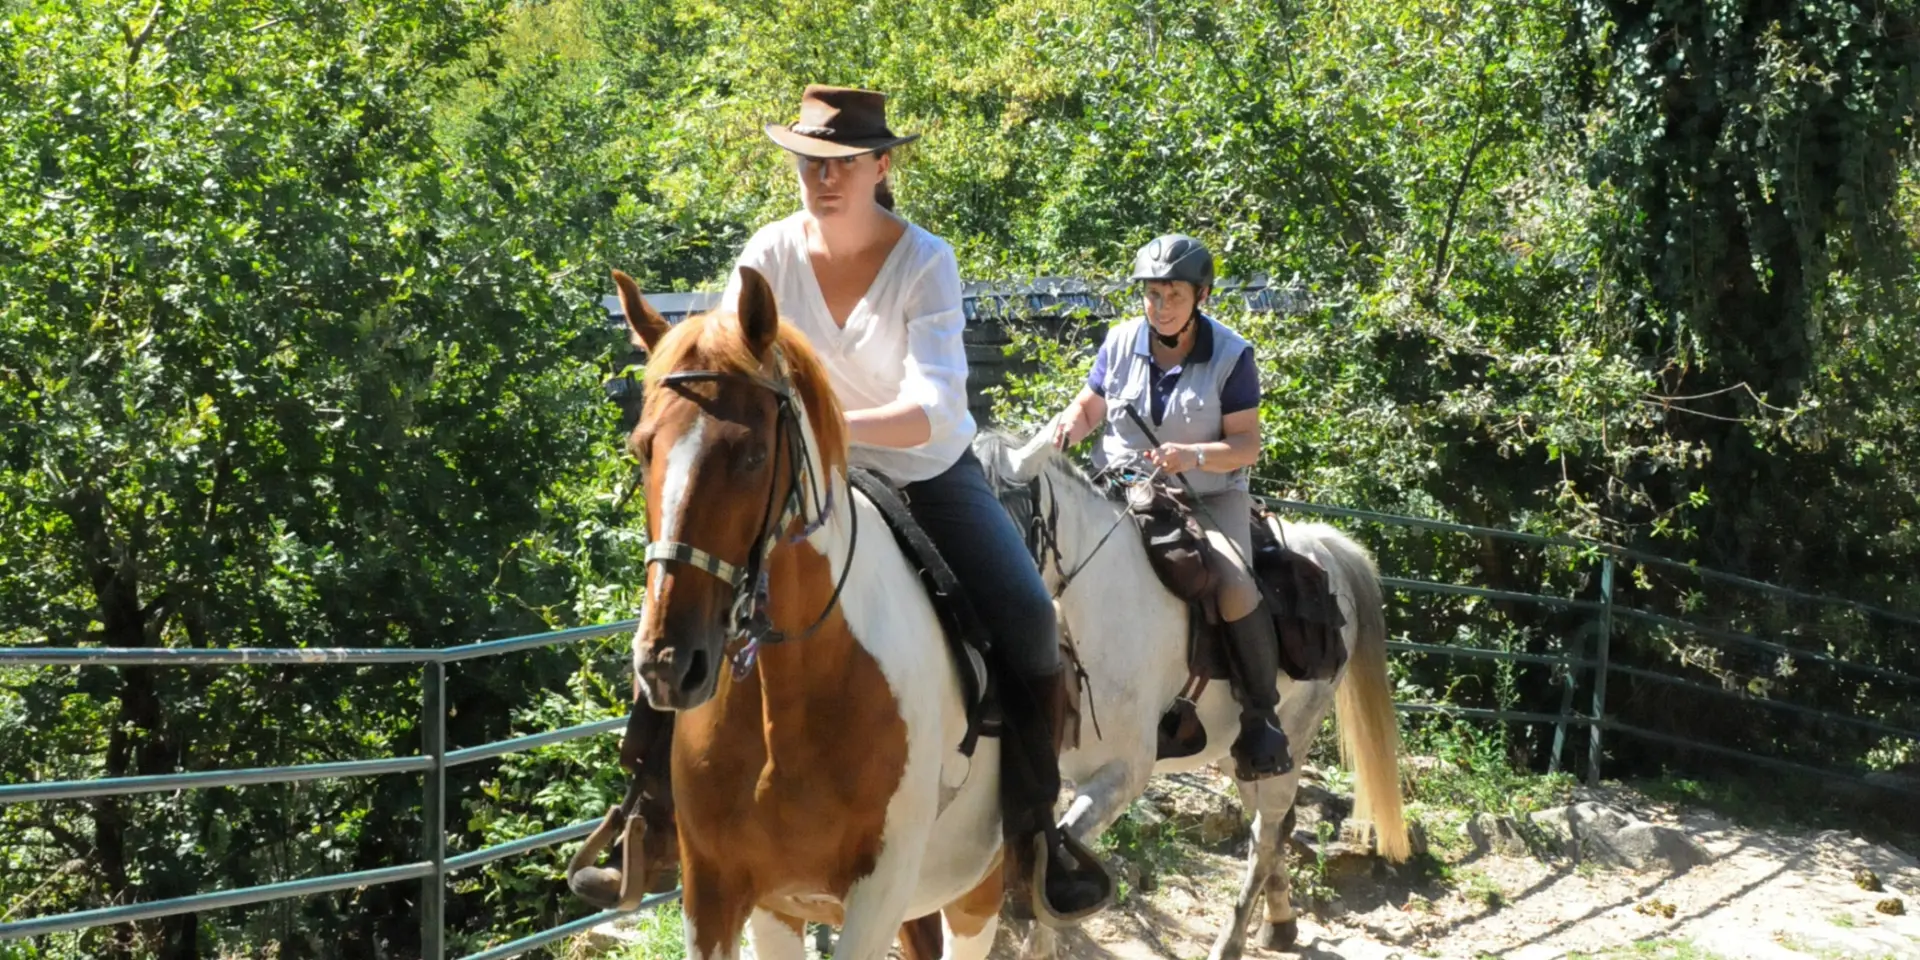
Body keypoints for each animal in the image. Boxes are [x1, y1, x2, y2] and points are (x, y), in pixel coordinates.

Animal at [972, 428, 1410, 960]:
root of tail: (1324, 548)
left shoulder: (1123, 774)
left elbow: (1052, 865)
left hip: (1293, 737)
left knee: (1265, 836)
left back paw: (1231, 941)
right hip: (1237, 757)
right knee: (1273, 828)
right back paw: (1279, 923)